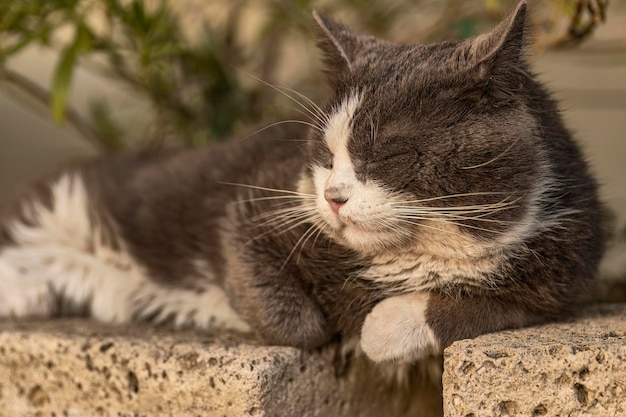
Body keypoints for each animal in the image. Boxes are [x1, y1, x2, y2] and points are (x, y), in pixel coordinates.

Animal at [0, 2, 604, 368]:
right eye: (324, 155)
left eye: (386, 153)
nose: (333, 197)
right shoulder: (256, 201)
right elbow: (292, 317)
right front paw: (326, 331)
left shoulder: (564, 276)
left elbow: (486, 306)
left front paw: (381, 326)